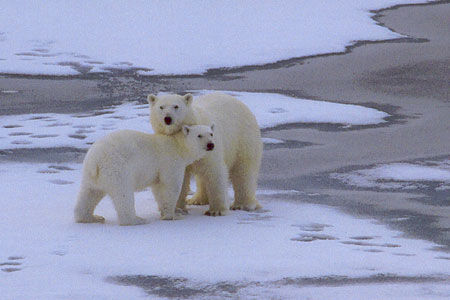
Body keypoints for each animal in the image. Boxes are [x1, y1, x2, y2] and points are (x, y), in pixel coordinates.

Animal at [75, 124, 216, 225]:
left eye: (211, 133)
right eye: (199, 135)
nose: (210, 144)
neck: (178, 145)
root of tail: (95, 160)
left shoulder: (158, 172)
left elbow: (158, 188)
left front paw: (174, 211)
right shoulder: (170, 161)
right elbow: (170, 186)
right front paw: (174, 215)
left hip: (91, 176)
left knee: (89, 194)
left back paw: (91, 217)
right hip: (117, 169)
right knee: (123, 194)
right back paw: (136, 220)